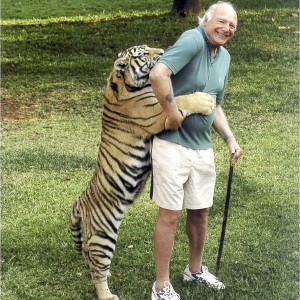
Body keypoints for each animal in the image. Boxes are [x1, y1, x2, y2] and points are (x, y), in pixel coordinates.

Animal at [69, 45, 214, 300]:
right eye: (143, 54)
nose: (163, 51)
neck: (122, 82)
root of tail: (79, 201)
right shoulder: (159, 115)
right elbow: (181, 98)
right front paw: (204, 99)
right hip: (103, 236)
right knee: (98, 267)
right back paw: (107, 295)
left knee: (89, 257)